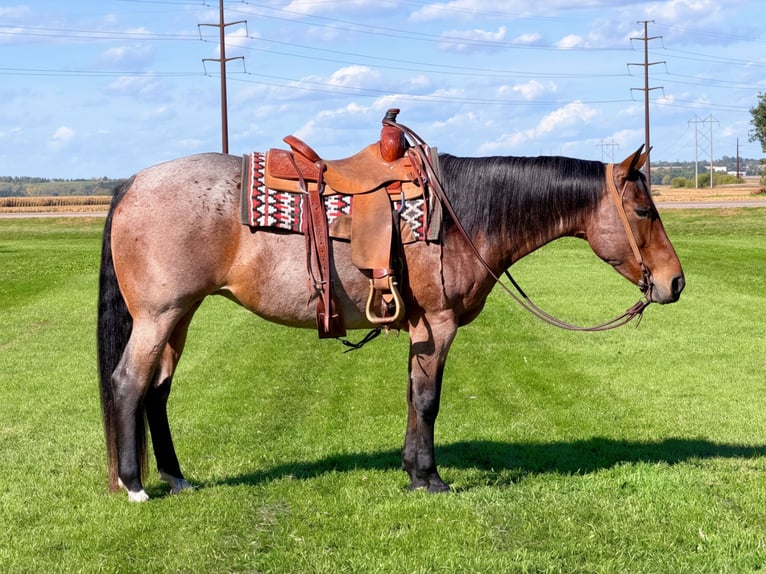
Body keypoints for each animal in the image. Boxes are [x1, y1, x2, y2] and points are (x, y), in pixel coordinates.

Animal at [97, 145, 684, 502]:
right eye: (643, 211)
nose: (675, 282)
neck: (461, 215)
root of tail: (134, 182)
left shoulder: (420, 330)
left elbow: (410, 396)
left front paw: (411, 470)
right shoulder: (439, 326)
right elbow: (427, 401)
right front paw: (430, 478)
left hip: (181, 315)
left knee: (157, 392)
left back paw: (176, 478)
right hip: (158, 316)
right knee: (128, 384)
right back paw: (135, 486)